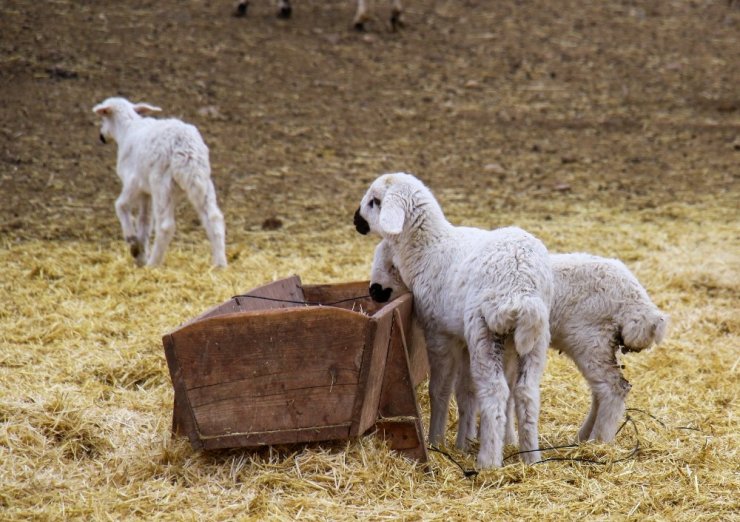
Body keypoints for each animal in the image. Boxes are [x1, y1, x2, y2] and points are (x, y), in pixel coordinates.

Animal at [92, 97, 227, 266]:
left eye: (103, 118)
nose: (101, 136)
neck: (126, 130)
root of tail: (185, 148)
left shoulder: (133, 181)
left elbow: (120, 205)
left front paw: (133, 243)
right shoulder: (145, 191)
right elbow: (144, 221)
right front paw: (141, 255)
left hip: (162, 183)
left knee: (165, 226)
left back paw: (153, 264)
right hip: (201, 179)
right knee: (213, 217)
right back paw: (220, 264)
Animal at [354, 172, 556, 468]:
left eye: (374, 201)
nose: (356, 220)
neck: (427, 250)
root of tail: (521, 286)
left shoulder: (439, 334)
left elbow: (440, 389)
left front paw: (435, 440)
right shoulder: (462, 339)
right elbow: (466, 392)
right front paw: (464, 440)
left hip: (485, 329)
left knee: (495, 391)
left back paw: (488, 461)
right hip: (534, 338)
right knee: (526, 392)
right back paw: (530, 457)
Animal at [372, 238, 668, 444]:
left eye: (391, 266)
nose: (375, 292)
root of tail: (640, 304)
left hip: (589, 339)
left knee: (613, 388)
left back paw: (599, 442)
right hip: (597, 344)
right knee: (603, 389)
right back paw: (583, 436)